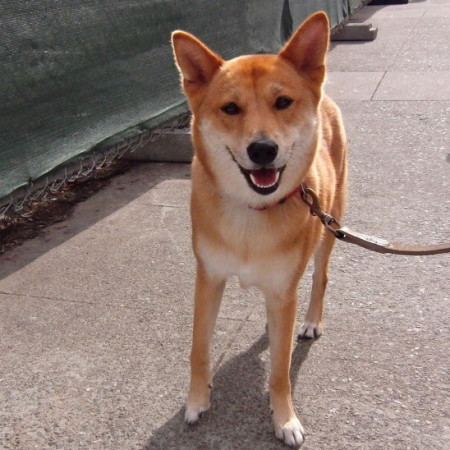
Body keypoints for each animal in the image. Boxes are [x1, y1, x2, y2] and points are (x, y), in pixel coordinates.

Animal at [172, 10, 348, 446]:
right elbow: (198, 348)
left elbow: (280, 371)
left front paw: (284, 418)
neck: (252, 211)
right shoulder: (209, 279)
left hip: (330, 226)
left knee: (320, 278)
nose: (263, 150)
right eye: (230, 108)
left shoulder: (284, 289)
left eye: (282, 102)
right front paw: (197, 400)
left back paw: (310, 321)